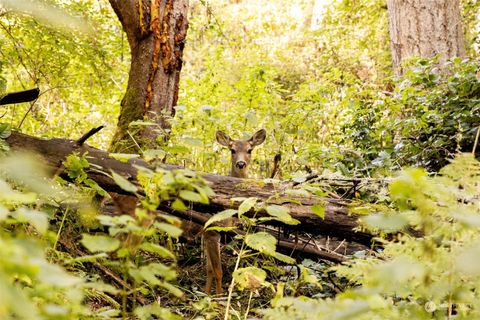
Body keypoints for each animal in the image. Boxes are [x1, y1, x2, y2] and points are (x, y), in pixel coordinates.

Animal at [202, 129, 268, 294]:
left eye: (249, 150)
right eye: (232, 150)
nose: (240, 163)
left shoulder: (207, 234)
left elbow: (209, 270)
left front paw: (206, 295)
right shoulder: (212, 232)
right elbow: (218, 271)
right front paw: (218, 298)